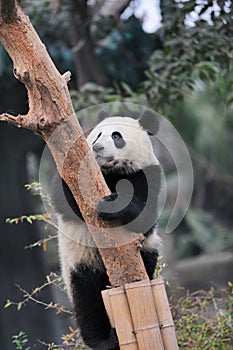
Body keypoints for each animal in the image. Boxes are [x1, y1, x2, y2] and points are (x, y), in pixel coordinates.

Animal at [50, 110, 161, 350]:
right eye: (98, 134)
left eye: (117, 136)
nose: (97, 147)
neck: (112, 172)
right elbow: (64, 199)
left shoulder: (148, 173)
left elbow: (145, 215)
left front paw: (111, 205)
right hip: (80, 260)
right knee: (88, 297)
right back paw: (103, 339)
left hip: (147, 253)